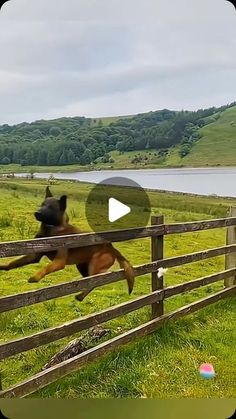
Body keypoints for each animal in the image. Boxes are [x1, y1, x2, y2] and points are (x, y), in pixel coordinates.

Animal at [0, 188, 135, 302]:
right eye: (42, 204)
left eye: (51, 207)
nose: (36, 213)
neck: (52, 230)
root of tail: (111, 247)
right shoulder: (34, 255)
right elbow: (13, 263)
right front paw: (3, 266)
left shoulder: (59, 262)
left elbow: (47, 267)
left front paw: (35, 277)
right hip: (82, 266)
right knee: (87, 281)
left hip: (94, 265)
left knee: (93, 282)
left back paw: (80, 296)